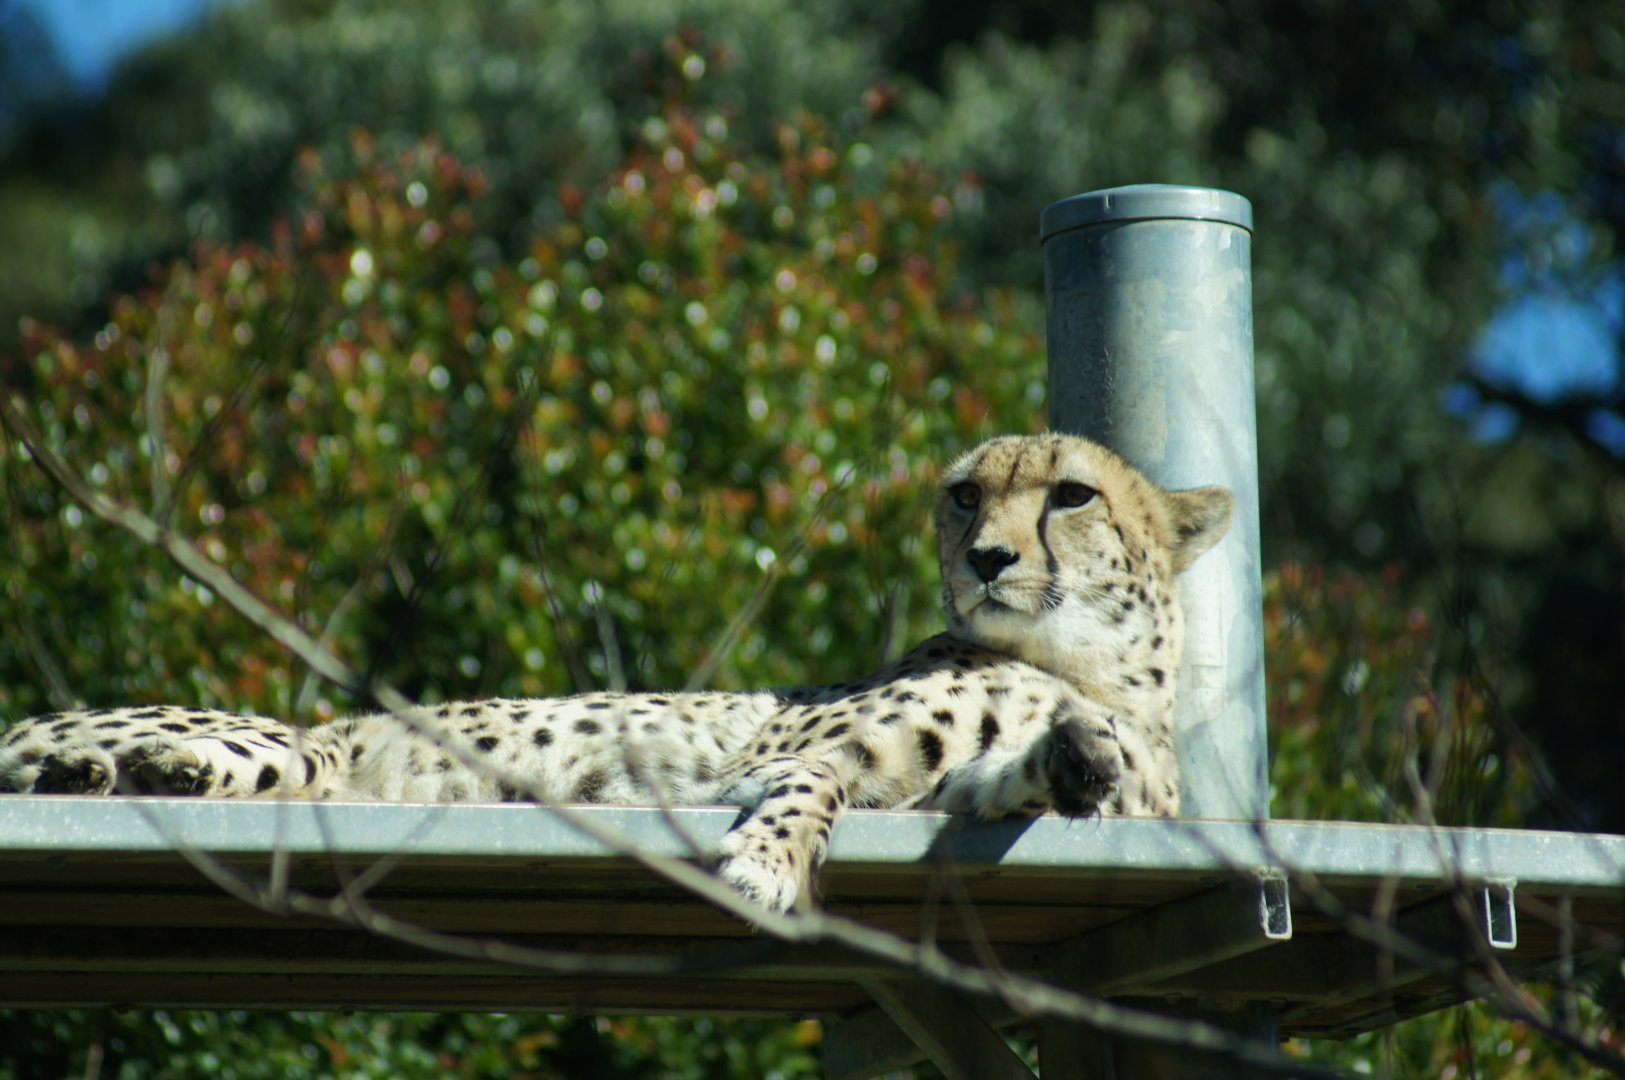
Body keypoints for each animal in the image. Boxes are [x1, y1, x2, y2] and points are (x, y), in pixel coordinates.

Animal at [0, 432, 1233, 913]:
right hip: (286, 746)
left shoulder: (964, 784)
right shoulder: (790, 752)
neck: (1088, 667)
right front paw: (764, 867)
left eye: (1068, 495)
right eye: (965, 494)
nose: (984, 559)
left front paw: (1076, 760)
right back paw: (127, 772)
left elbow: (1023, 777)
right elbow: (812, 787)